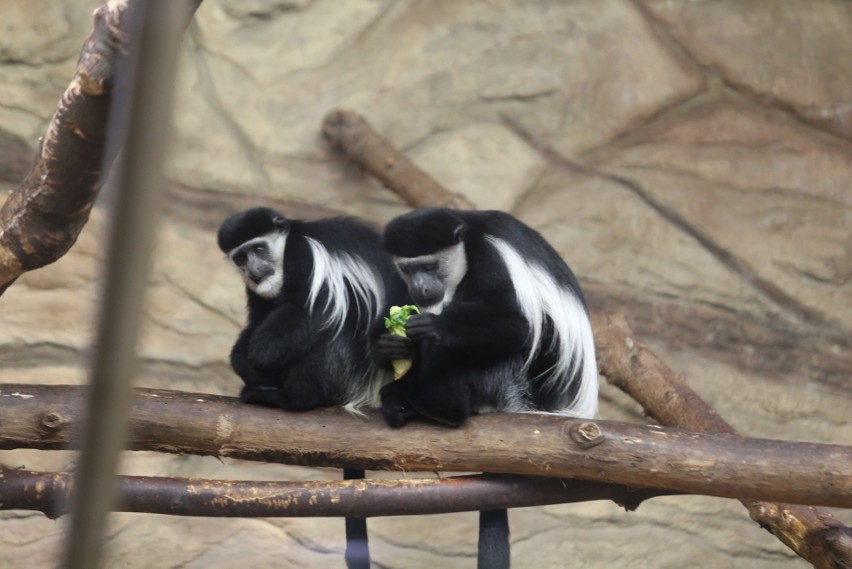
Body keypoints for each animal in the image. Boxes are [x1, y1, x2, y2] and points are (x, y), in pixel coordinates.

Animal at [218, 207, 408, 568]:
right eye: (241, 257)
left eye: (259, 249)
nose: (253, 269)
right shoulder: (257, 290)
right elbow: (259, 317)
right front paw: (241, 360)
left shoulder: (305, 256)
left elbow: (311, 310)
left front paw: (256, 359)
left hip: (344, 373)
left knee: (333, 324)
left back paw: (289, 398)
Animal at [372, 207, 600, 568]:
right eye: (408, 269)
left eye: (430, 266)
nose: (420, 287)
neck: (469, 238)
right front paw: (390, 344)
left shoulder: (491, 259)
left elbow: (516, 326)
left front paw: (434, 328)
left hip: (506, 378)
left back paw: (439, 402)